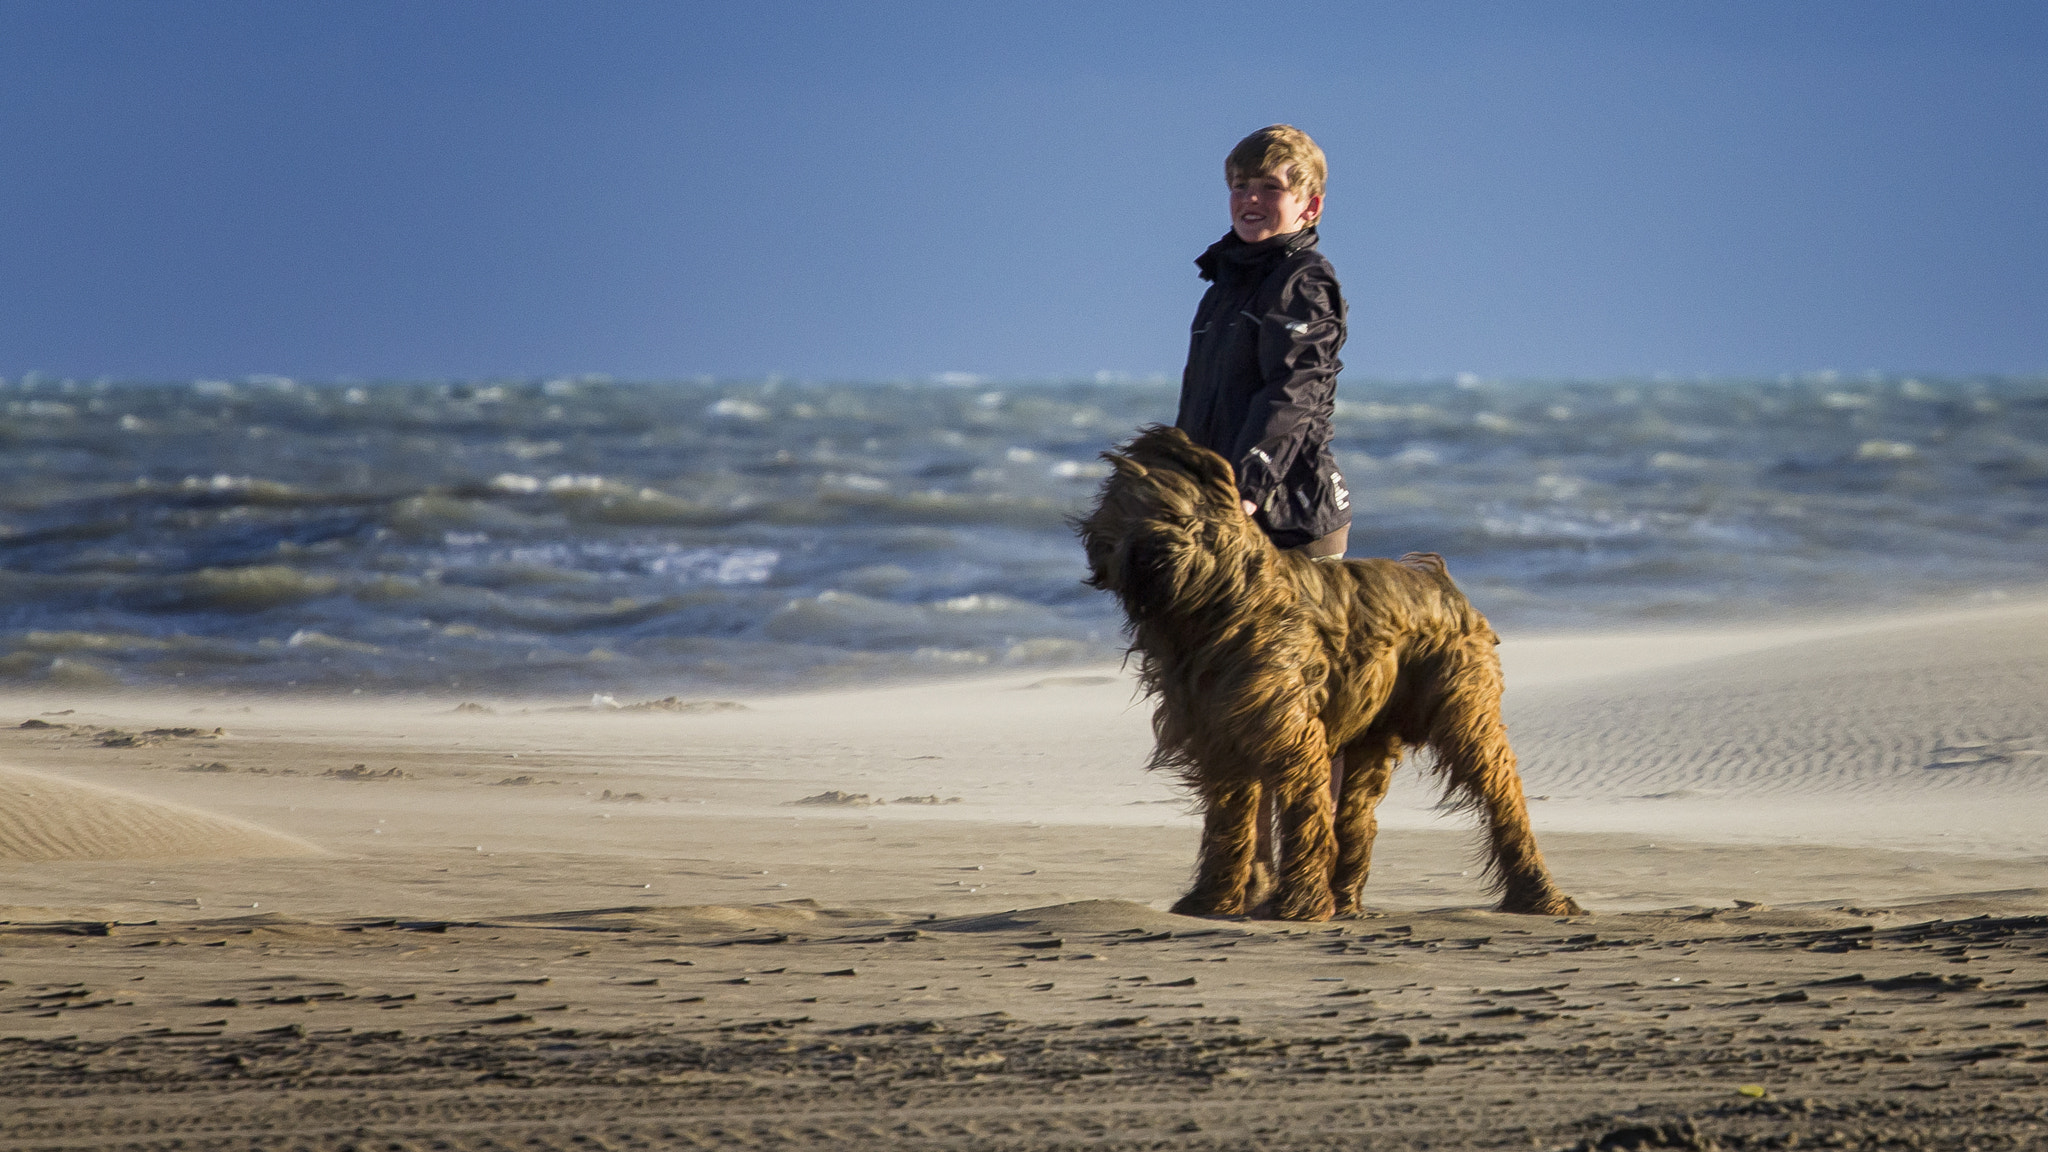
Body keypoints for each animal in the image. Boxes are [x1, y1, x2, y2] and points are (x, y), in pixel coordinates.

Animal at [1081, 426, 1572, 918]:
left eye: (1177, 512)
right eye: (1132, 512)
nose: (1153, 552)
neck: (1223, 605)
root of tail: (1442, 581)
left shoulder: (1290, 731)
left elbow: (1303, 813)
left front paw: (1300, 902)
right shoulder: (1216, 735)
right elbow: (1230, 821)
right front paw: (1213, 898)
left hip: (1466, 714)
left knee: (1503, 793)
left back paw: (1538, 893)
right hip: (1373, 734)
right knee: (1358, 815)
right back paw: (1345, 899)